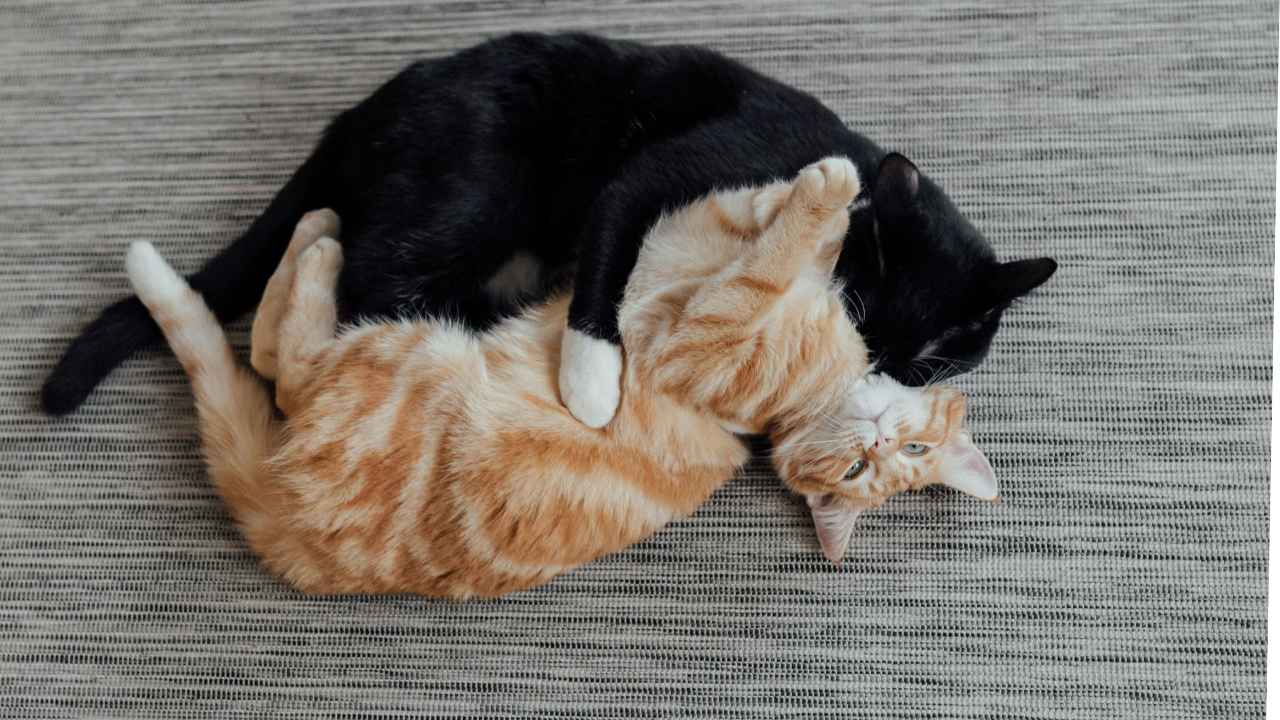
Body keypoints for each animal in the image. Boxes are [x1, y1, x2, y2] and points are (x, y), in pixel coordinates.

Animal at [42, 32, 1059, 425]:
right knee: (368, 277)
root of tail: (360, 114)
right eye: (855, 308)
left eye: (924, 364)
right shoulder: (675, 168)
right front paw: (592, 377)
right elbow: (614, 245)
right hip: (475, 186)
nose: (864, 378)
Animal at [124, 155, 993, 594]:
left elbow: (764, 264)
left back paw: (319, 239)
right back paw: (316, 224)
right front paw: (829, 188)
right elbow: (767, 227)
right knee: (275, 353)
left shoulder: (697, 334)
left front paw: (827, 194)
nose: (877, 443)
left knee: (281, 360)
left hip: (401, 356)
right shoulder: (695, 247)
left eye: (868, 473)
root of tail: (289, 531)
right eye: (903, 455)